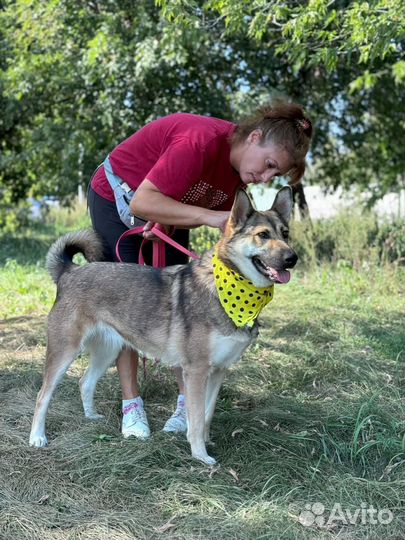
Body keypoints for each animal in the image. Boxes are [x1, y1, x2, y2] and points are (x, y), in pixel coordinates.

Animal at [29, 187, 296, 464]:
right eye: (263, 235)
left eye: (285, 233)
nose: (293, 258)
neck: (234, 294)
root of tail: (69, 271)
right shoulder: (196, 371)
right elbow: (196, 418)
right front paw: (200, 455)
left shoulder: (219, 370)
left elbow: (207, 413)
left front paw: (206, 441)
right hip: (64, 352)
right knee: (42, 395)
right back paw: (37, 437)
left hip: (107, 351)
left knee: (85, 382)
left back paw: (91, 417)